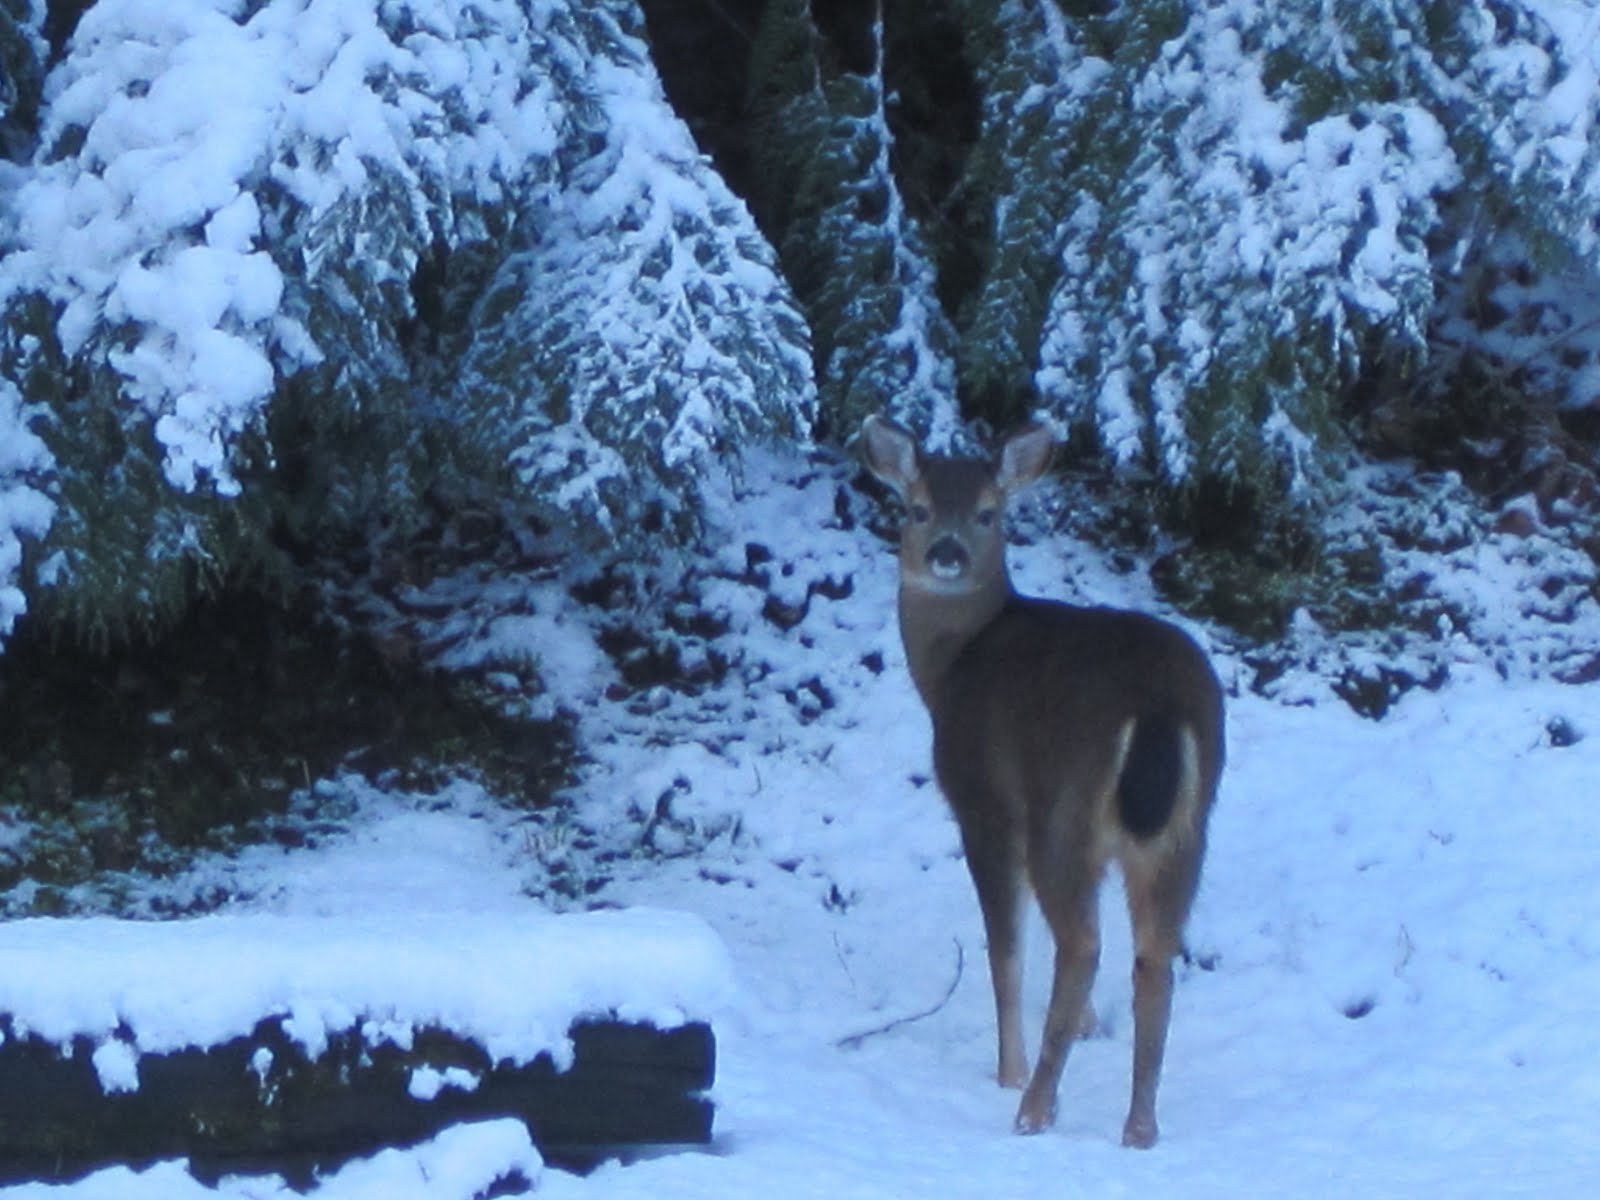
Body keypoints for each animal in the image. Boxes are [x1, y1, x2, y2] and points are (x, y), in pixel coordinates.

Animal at [859, 413, 1224, 1149]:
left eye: (988, 514)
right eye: (917, 509)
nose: (946, 553)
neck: (951, 667)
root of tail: (1162, 706)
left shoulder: (986, 805)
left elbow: (1005, 950)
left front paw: (1008, 1069)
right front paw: (1084, 1029)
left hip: (1069, 812)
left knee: (1083, 946)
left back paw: (1033, 1107)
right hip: (1185, 831)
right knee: (1155, 957)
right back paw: (1140, 1127)